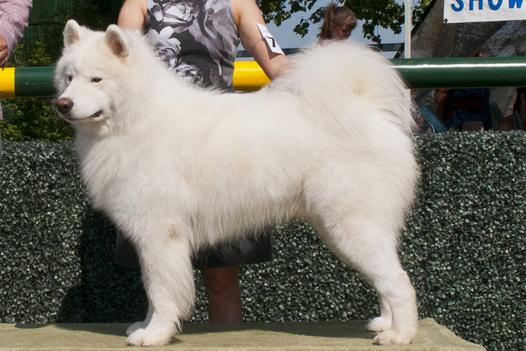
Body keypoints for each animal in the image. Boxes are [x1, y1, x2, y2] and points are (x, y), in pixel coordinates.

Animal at [54, 20, 420, 348]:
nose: (63, 104)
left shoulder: (159, 234)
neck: (137, 118)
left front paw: (155, 334)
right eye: (69, 79)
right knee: (387, 278)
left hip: (351, 225)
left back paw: (400, 335)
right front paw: (145, 326)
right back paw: (384, 323)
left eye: (97, 79)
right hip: (343, 228)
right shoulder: (152, 239)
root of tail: (369, 111)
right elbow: (153, 289)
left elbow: (159, 290)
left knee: (399, 281)